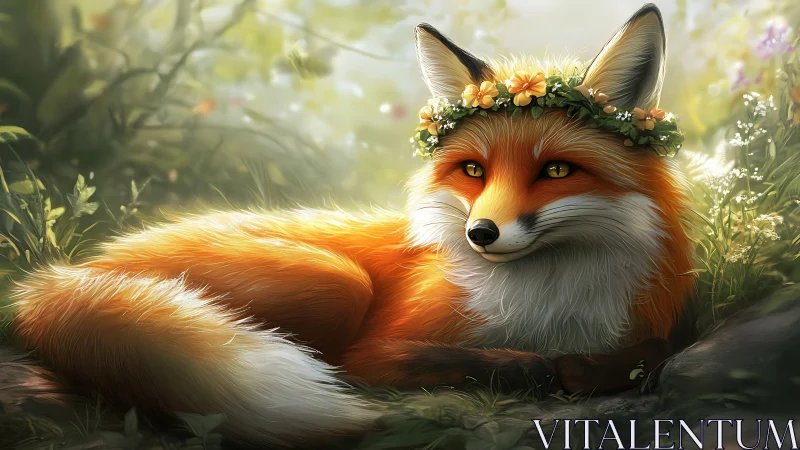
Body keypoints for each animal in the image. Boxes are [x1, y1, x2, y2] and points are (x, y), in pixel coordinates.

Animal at [11, 3, 695, 449]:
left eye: (556, 170)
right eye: (473, 170)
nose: (481, 234)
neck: (547, 305)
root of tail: (66, 274)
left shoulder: (649, 322)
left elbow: (646, 352)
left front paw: (597, 366)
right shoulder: (382, 348)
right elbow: (486, 360)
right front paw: (548, 368)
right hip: (338, 281)